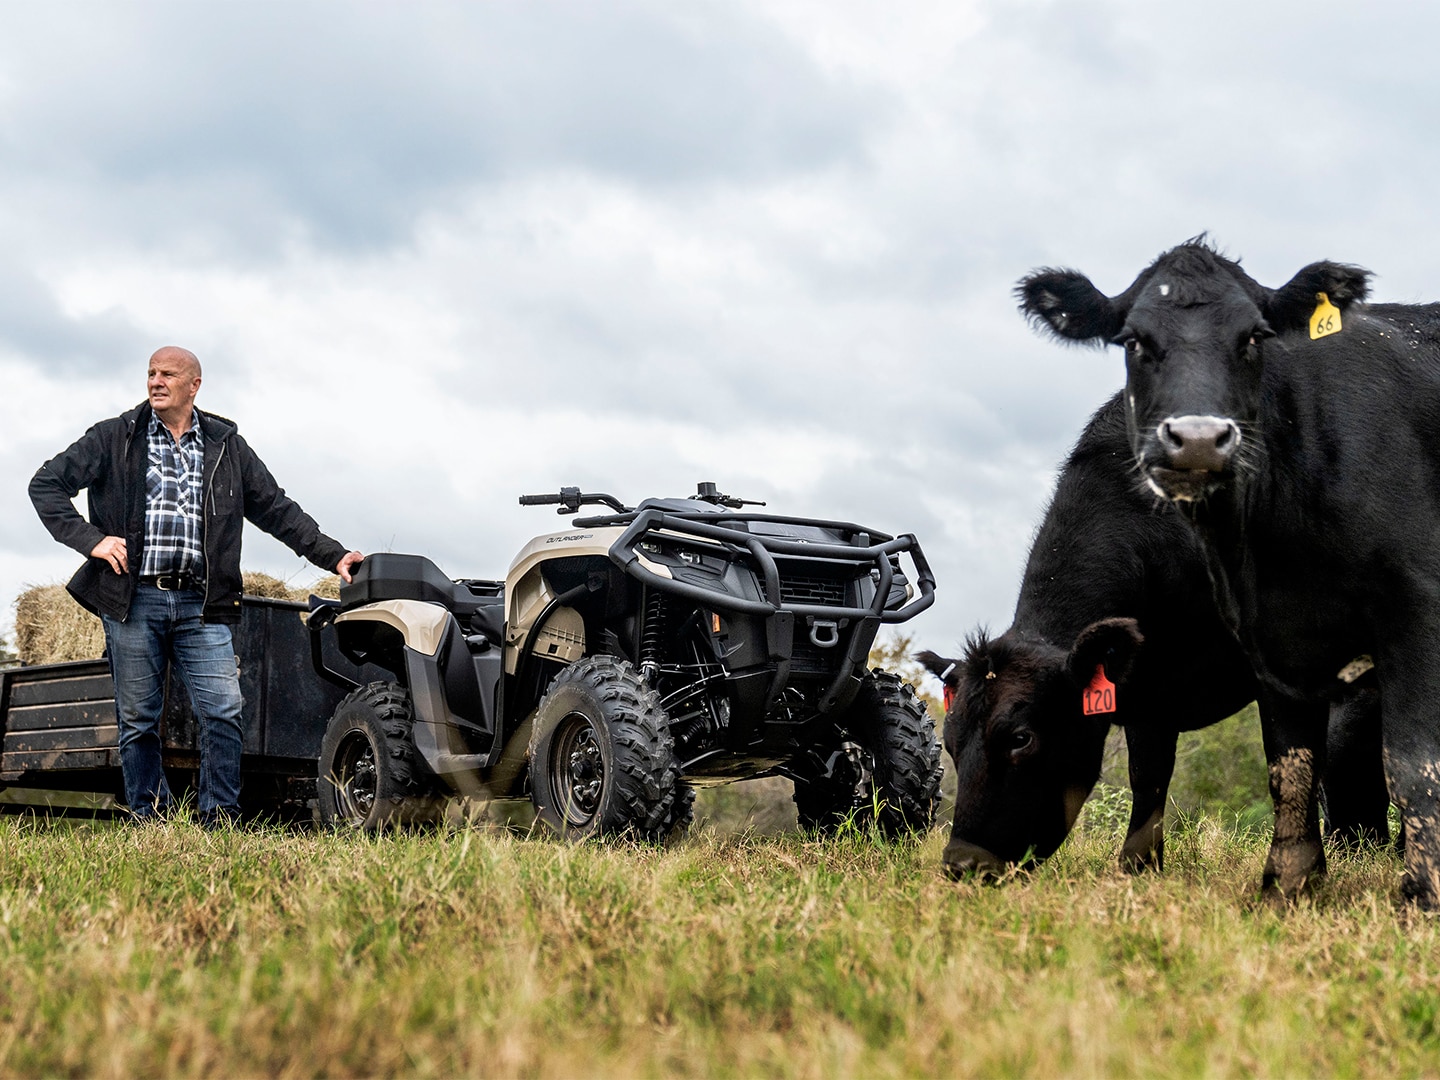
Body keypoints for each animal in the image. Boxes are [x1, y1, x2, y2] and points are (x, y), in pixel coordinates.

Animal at [915, 397, 1388, 881]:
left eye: (1020, 738)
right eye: (949, 742)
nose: (962, 863)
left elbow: (1291, 764)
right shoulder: (1147, 687)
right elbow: (1148, 775)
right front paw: (1139, 867)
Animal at [1013, 243, 1440, 904]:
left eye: (1254, 337)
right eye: (1133, 340)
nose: (1196, 439)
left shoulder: (1415, 605)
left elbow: (1414, 763)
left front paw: (1420, 897)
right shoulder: (1261, 638)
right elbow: (1288, 768)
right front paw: (1287, 887)